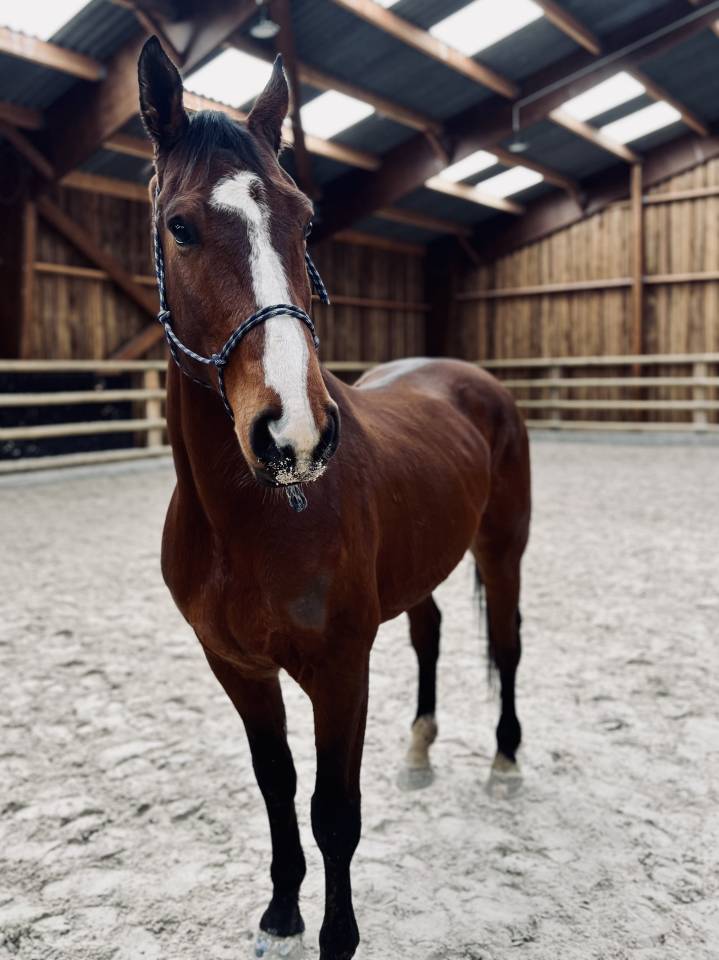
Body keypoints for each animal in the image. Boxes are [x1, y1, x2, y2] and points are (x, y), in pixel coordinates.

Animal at [138, 36, 531, 960]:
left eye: (304, 219)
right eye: (180, 225)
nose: (296, 434)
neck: (244, 521)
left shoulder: (339, 669)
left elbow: (334, 813)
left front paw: (336, 936)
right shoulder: (237, 667)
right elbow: (276, 784)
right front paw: (281, 908)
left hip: (502, 548)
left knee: (505, 643)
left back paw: (503, 761)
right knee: (430, 633)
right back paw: (420, 747)